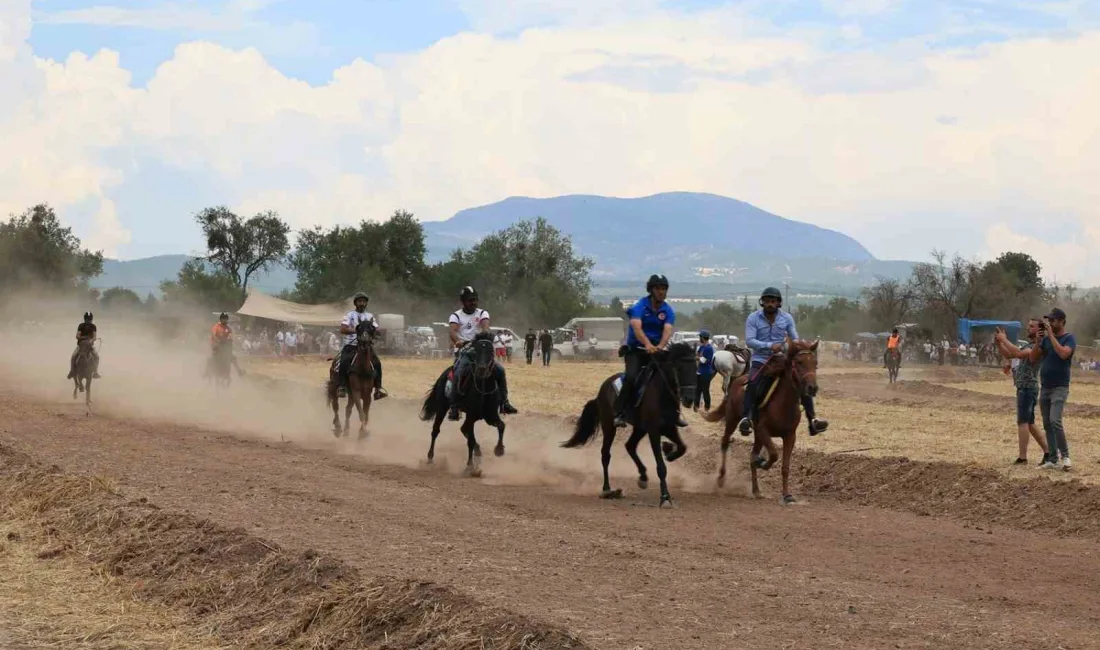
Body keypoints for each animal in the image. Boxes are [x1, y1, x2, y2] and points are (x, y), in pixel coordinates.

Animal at [420, 336, 506, 477]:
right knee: (436, 431)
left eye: (491, 351)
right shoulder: (471, 415)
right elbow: (470, 440)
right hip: (442, 408)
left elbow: (501, 426)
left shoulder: (490, 416)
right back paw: (430, 459)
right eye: (476, 351)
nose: (481, 369)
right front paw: (470, 466)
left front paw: (499, 450)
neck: (483, 389)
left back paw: (479, 453)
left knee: (463, 429)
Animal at [704, 338, 818, 505]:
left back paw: (756, 490)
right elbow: (774, 455)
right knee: (725, 442)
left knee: (752, 456)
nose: (812, 388)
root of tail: (737, 381)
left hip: (757, 435)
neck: (783, 403)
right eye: (799, 362)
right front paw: (763, 463)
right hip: (732, 419)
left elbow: (785, 466)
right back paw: (721, 478)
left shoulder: (790, 435)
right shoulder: (763, 430)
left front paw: (787, 496)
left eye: (815, 363)